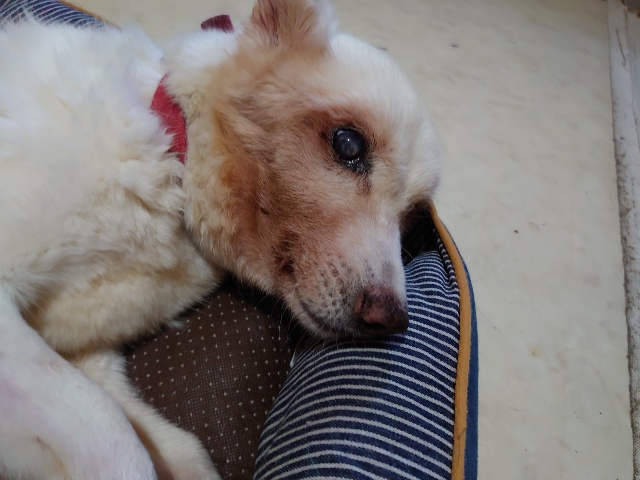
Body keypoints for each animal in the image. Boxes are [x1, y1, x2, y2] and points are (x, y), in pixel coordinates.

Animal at [0, 0, 441, 478]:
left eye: (412, 218)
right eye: (348, 144)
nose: (392, 320)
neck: (173, 152)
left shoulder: (86, 359)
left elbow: (167, 444)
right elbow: (119, 439)